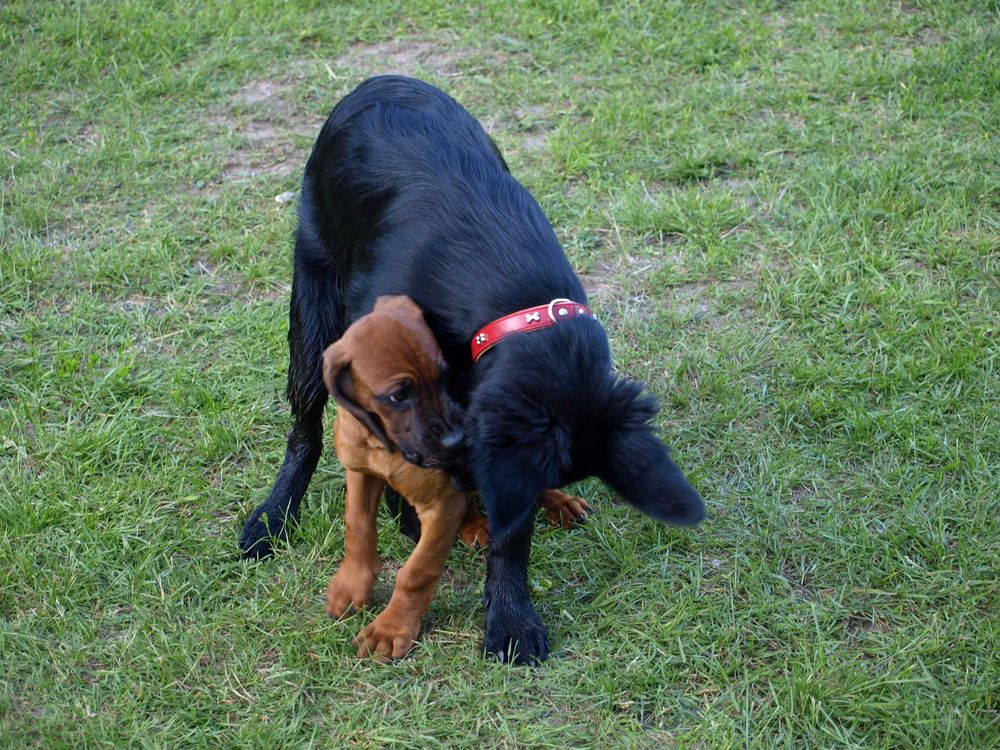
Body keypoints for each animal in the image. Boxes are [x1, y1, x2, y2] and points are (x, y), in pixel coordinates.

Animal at [322, 296, 584, 660]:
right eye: (398, 395)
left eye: (443, 376)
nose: (458, 441)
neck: (386, 445)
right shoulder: (361, 473)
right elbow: (358, 528)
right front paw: (352, 585)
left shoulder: (442, 504)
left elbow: (417, 571)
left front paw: (391, 628)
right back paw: (477, 524)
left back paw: (559, 502)